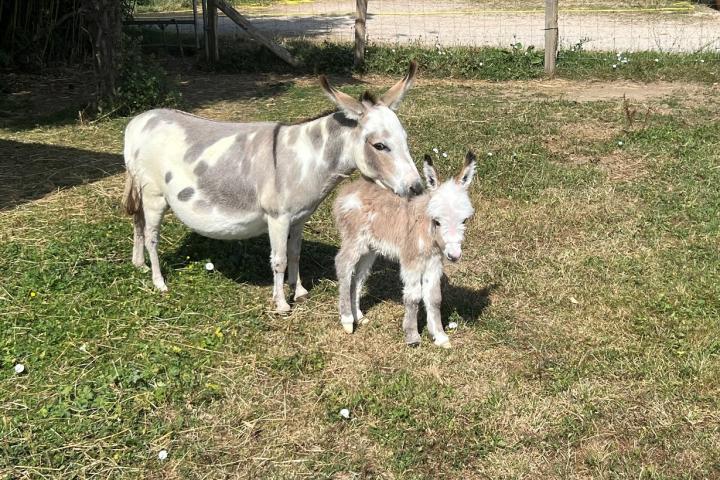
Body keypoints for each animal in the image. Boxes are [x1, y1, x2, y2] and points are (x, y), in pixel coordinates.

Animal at [334, 152, 478, 346]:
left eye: (464, 220)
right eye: (437, 221)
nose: (454, 255)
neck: (426, 231)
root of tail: (349, 190)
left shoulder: (433, 264)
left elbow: (434, 298)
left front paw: (440, 337)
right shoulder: (411, 262)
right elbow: (413, 297)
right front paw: (412, 336)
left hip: (370, 249)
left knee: (358, 277)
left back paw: (359, 316)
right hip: (354, 239)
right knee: (343, 266)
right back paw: (348, 321)